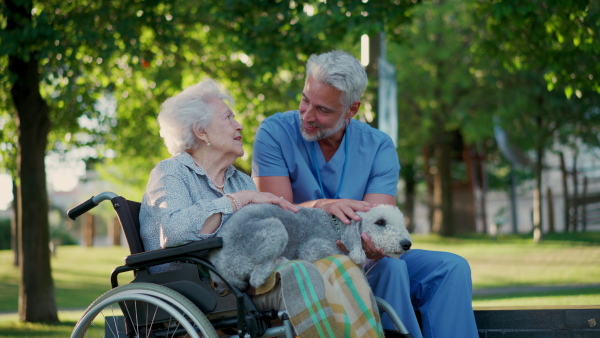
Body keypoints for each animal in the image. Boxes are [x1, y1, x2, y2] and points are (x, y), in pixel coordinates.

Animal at [207, 202, 412, 292]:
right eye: (380, 222)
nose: (407, 244)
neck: (336, 228)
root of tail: (220, 270)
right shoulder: (313, 248)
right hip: (275, 228)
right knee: (257, 278)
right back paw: (281, 260)